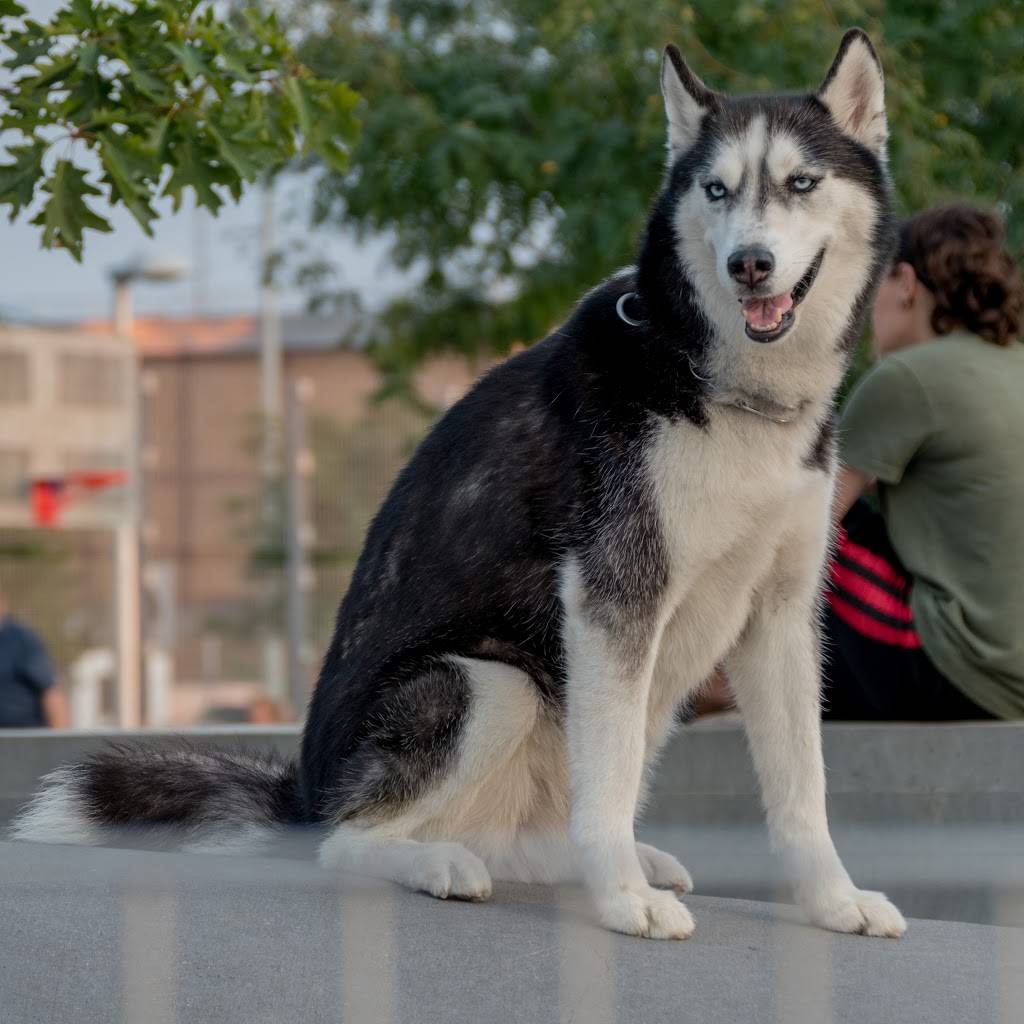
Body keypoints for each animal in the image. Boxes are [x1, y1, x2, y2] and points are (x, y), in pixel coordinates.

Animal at [12, 29, 905, 942]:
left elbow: (803, 791)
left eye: (801, 182)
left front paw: (833, 900)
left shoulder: (781, 616)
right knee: (348, 840)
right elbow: (610, 782)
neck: (720, 385)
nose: (748, 264)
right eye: (717, 189)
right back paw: (438, 861)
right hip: (487, 683)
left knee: (530, 834)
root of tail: (303, 795)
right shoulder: (615, 599)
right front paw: (623, 902)